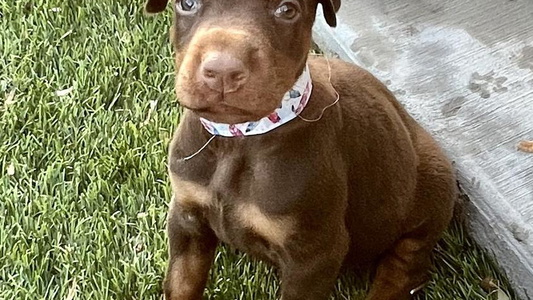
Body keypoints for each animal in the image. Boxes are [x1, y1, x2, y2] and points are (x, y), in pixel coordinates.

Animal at [143, 1, 456, 298]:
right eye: (187, 4)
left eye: (287, 10)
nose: (222, 71)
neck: (240, 136)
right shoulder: (186, 216)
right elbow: (182, 283)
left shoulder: (313, 255)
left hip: (429, 197)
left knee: (405, 268)